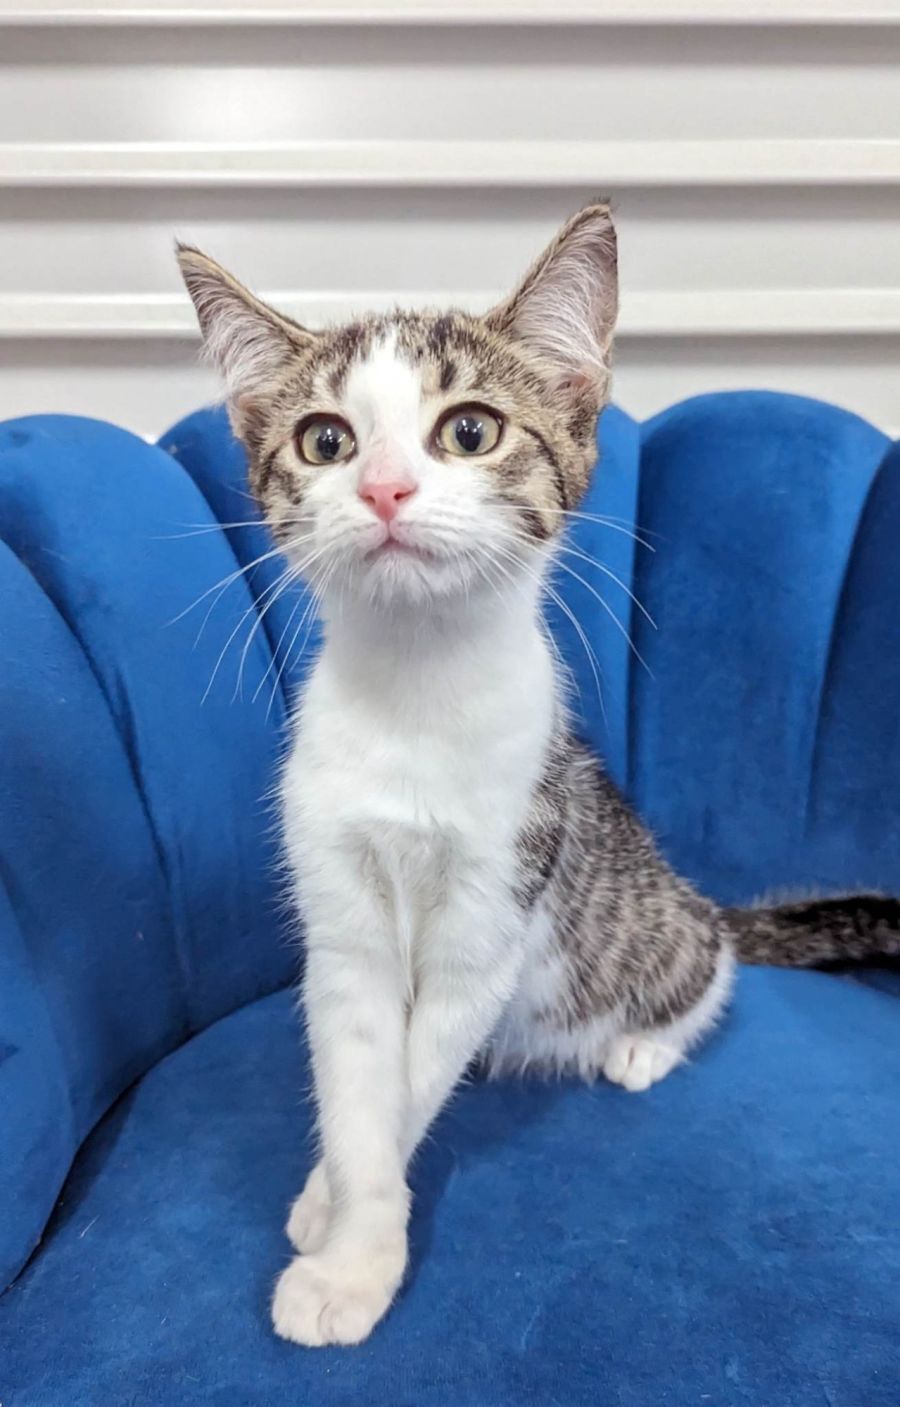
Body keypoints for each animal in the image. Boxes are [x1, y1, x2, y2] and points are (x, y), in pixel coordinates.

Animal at [177, 205, 899, 1349]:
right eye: (326, 440)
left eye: (469, 431)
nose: (384, 487)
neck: (416, 697)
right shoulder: (340, 914)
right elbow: (359, 1081)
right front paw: (335, 1194)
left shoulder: (502, 901)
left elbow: (416, 1081)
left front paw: (353, 1266)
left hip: (655, 925)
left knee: (710, 971)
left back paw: (647, 1045)